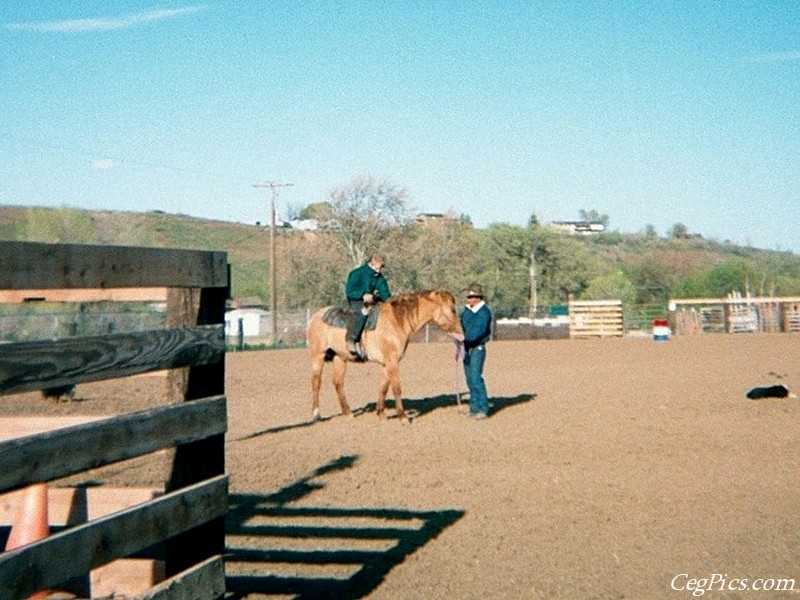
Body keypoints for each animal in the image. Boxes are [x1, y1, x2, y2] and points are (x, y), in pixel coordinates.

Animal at [310, 290, 466, 422]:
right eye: (453, 309)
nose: (461, 334)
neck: (398, 321)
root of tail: (316, 316)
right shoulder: (392, 361)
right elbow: (396, 388)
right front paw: (402, 417)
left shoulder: (387, 363)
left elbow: (383, 387)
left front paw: (381, 414)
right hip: (318, 356)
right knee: (316, 382)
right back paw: (316, 414)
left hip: (340, 358)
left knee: (338, 383)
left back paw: (348, 413)